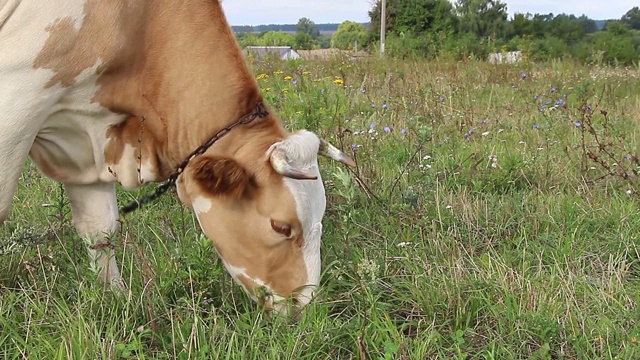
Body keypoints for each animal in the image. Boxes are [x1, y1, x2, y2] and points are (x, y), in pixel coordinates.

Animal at [0, 0, 356, 316]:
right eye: (281, 226)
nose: (305, 305)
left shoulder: (88, 146)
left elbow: (99, 229)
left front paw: (114, 302)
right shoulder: (18, 95)